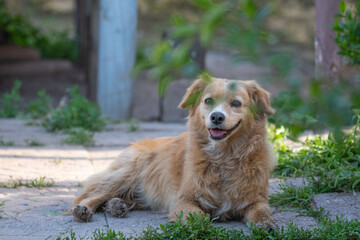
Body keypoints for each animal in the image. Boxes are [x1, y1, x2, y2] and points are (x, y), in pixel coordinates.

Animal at [70, 77, 278, 231]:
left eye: (236, 103)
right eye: (208, 100)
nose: (216, 117)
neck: (223, 158)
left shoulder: (256, 200)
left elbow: (263, 212)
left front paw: (267, 224)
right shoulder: (184, 200)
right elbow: (199, 216)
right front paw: (199, 226)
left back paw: (117, 205)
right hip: (127, 172)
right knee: (94, 193)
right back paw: (85, 209)